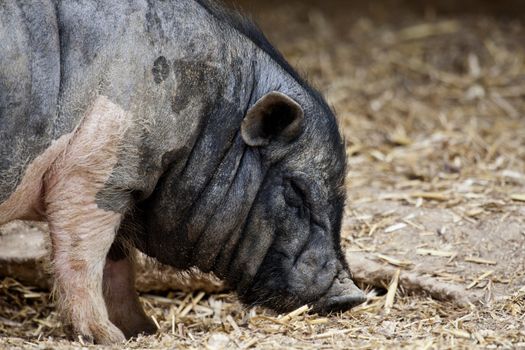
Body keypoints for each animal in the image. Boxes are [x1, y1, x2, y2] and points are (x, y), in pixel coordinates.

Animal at [0, 0, 366, 344]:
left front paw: (143, 331)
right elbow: (84, 258)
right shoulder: (91, 171)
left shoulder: (127, 183)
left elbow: (118, 263)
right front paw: (108, 337)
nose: (353, 296)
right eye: (296, 191)